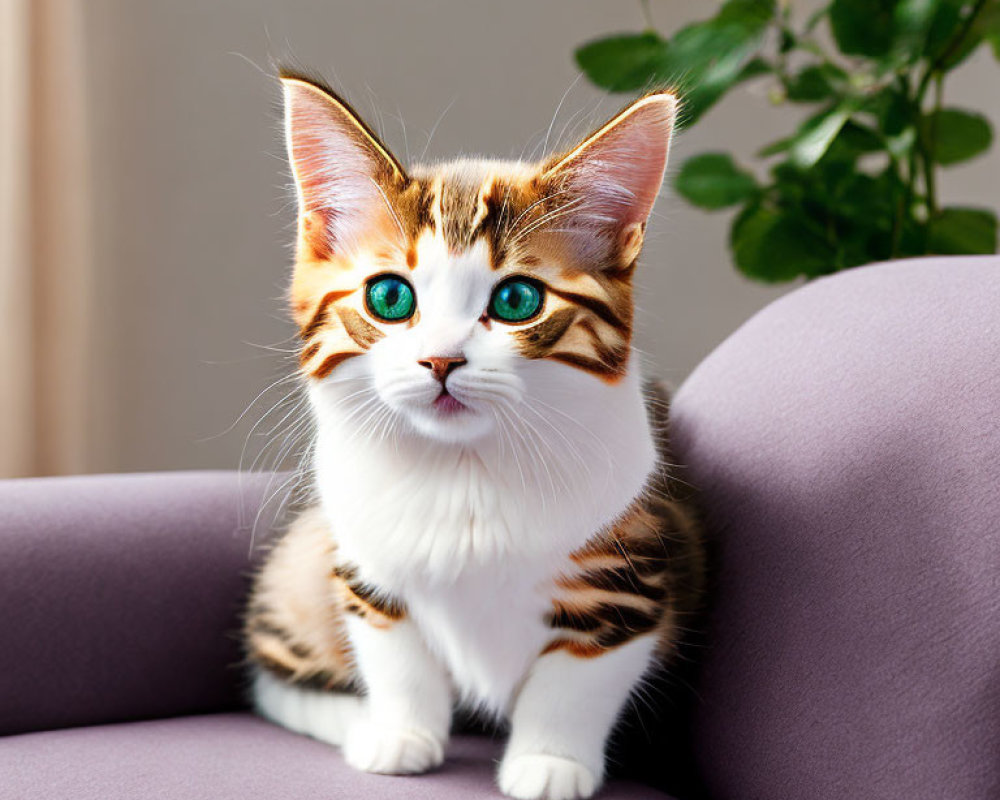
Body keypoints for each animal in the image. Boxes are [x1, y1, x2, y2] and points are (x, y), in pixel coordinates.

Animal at [244, 70, 704, 800]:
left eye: (517, 300)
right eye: (389, 298)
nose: (441, 360)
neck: (463, 470)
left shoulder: (634, 573)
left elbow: (577, 679)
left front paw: (549, 761)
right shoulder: (360, 562)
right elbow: (396, 656)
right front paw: (401, 733)